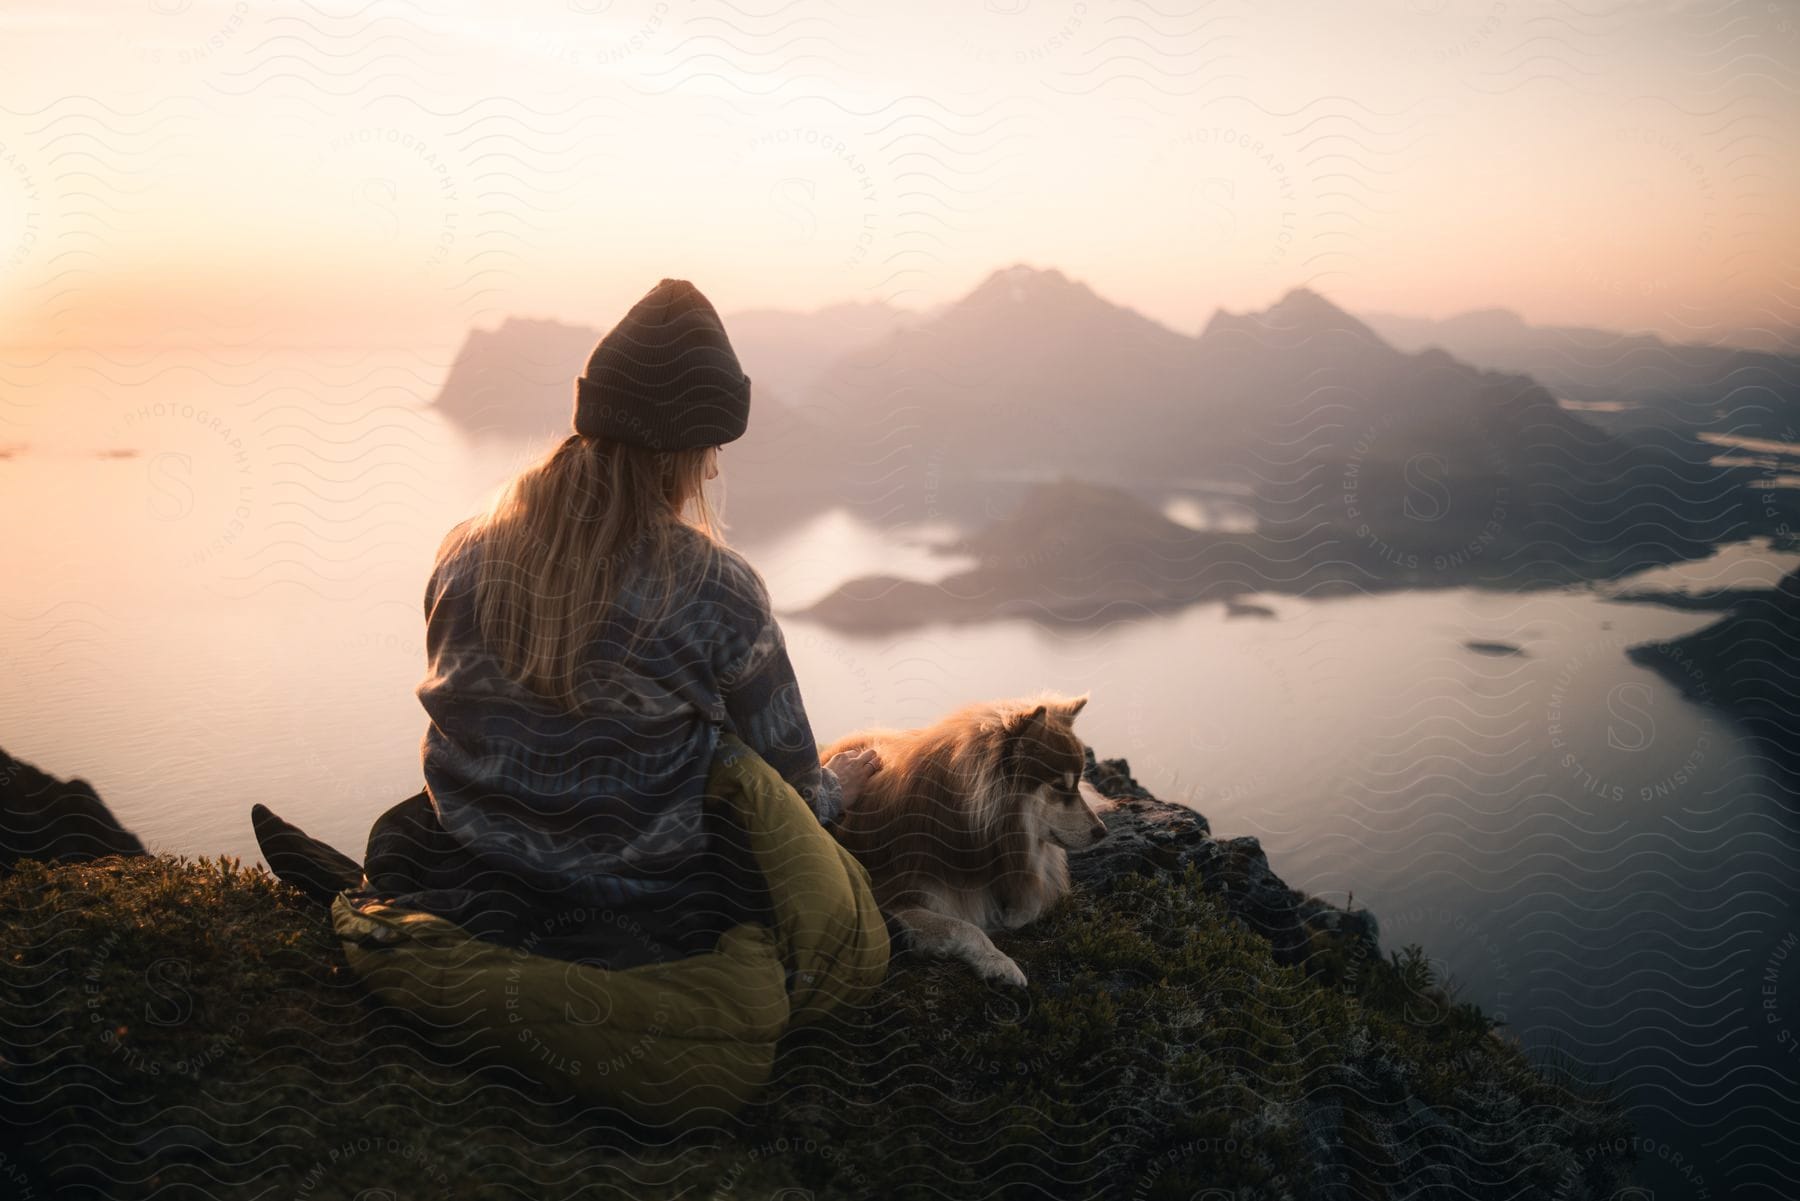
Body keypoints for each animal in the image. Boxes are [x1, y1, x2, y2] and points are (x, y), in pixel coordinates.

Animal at [820, 695, 1108, 986]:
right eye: (1060, 786)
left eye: (1077, 783)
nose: (1102, 831)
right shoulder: (885, 893)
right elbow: (962, 926)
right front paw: (998, 962)